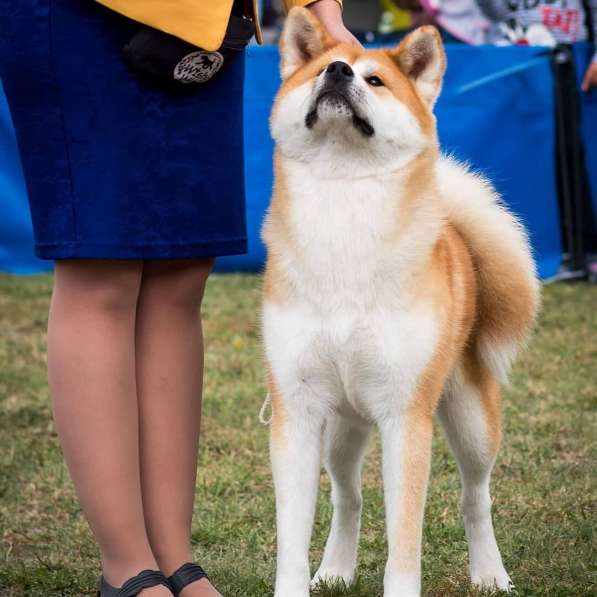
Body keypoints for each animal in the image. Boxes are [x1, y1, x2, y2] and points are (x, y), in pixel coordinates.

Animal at [262, 7, 540, 592]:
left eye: (376, 80)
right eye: (319, 70)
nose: (338, 71)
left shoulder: (405, 418)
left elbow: (404, 544)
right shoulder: (297, 411)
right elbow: (292, 540)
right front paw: (302, 580)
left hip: (470, 420)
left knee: (475, 497)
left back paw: (489, 573)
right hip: (342, 429)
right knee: (347, 497)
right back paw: (335, 569)